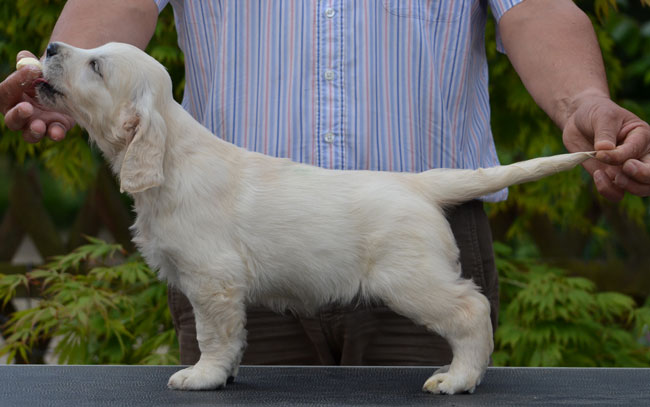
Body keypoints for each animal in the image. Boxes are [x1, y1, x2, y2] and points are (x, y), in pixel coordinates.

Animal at [35, 42, 592, 396]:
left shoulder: (212, 280)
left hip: (411, 277)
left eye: (96, 66)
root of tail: (418, 184)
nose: (51, 46)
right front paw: (225, 373)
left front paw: (202, 376)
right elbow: (233, 338)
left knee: (472, 311)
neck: (172, 158)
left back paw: (458, 379)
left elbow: (214, 336)